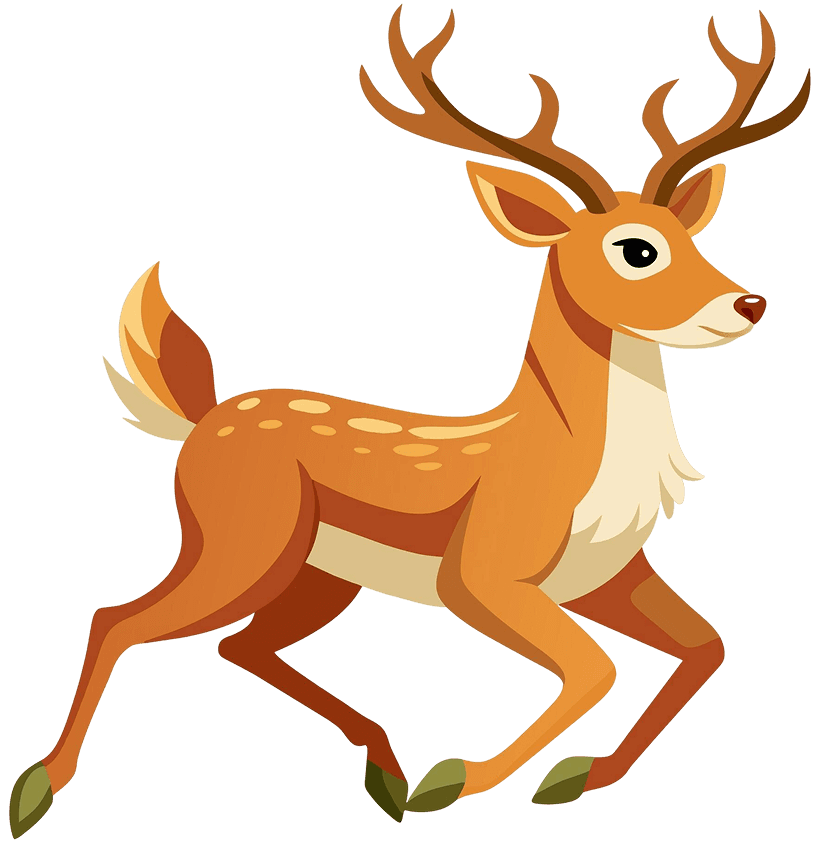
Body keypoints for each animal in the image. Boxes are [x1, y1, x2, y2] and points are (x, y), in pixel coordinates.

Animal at [9, 5, 810, 838]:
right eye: (637, 250)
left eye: (692, 236)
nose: (749, 303)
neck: (571, 458)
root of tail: (198, 420)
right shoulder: (481, 571)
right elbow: (596, 669)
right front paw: (457, 779)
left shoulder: (611, 579)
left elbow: (706, 648)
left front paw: (575, 778)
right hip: (241, 545)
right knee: (117, 618)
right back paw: (38, 790)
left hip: (315, 575)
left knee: (239, 647)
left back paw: (385, 771)